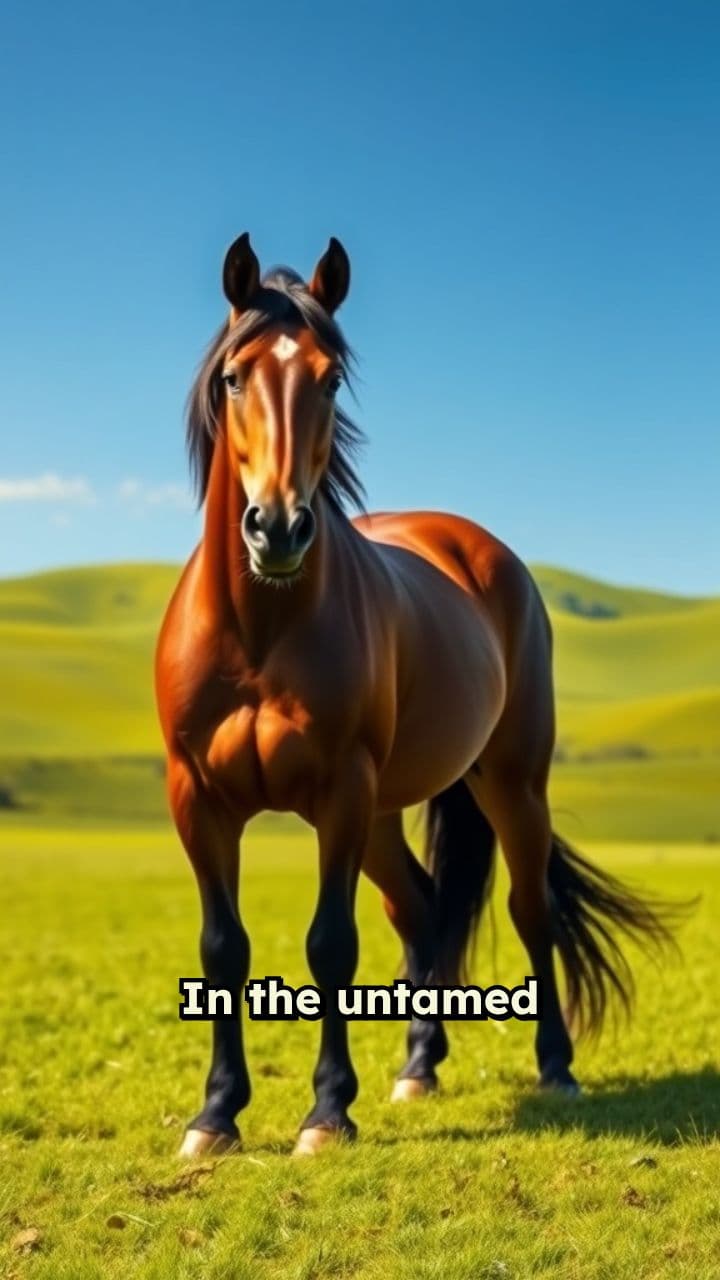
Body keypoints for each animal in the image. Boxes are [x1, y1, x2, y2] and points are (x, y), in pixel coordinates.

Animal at [155, 233, 676, 1158]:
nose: (279, 528)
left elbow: (331, 944)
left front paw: (327, 1113)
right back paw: (418, 1066)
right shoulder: (199, 798)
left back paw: (556, 1068)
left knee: (529, 909)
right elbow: (222, 949)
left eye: (329, 378)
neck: (260, 628)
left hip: (508, 784)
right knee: (422, 909)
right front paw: (215, 1116)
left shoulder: (340, 792)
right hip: (385, 814)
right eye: (234, 377)